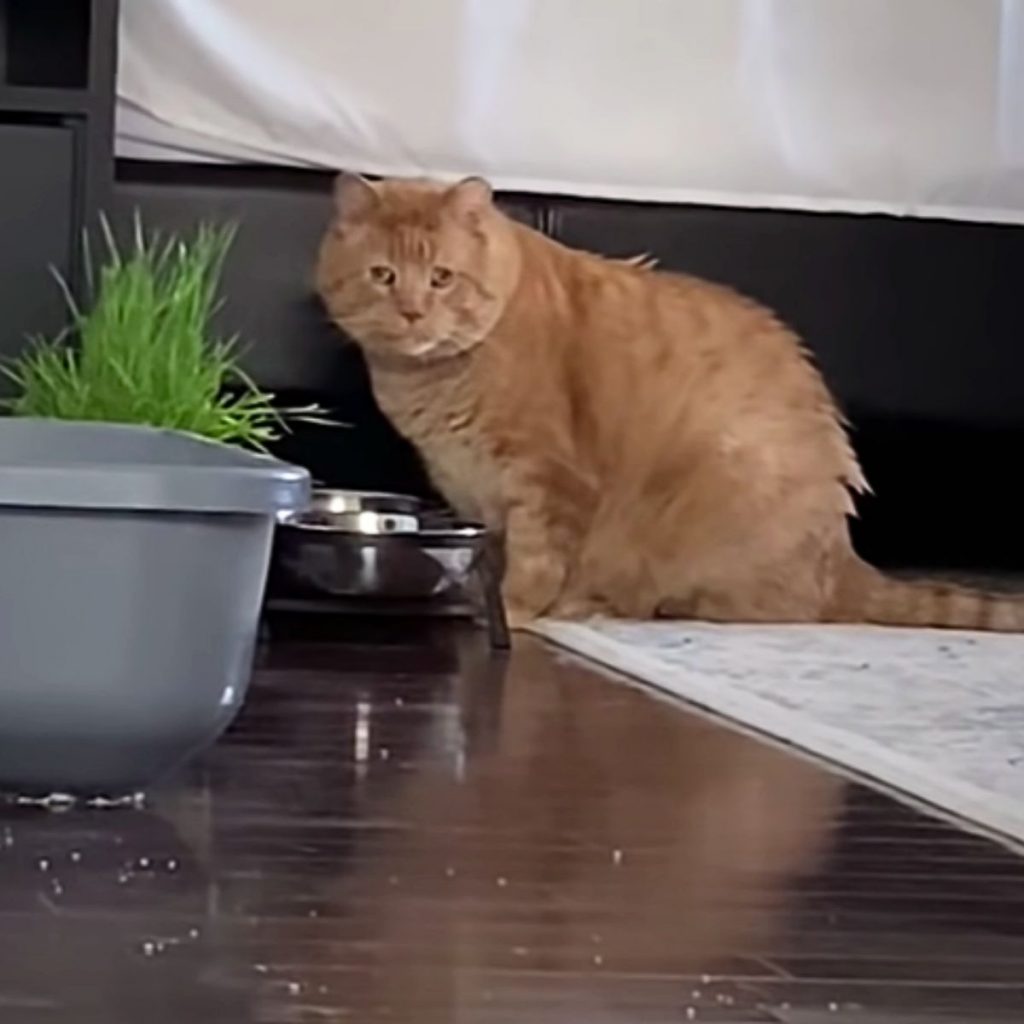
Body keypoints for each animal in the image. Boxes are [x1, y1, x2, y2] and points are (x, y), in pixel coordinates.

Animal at [315, 176, 1019, 626]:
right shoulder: (473, 487)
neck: (428, 380)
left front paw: (515, 613)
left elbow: (535, 563)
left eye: (441, 278)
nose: (411, 312)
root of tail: (844, 556)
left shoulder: (547, 478)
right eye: (383, 276)